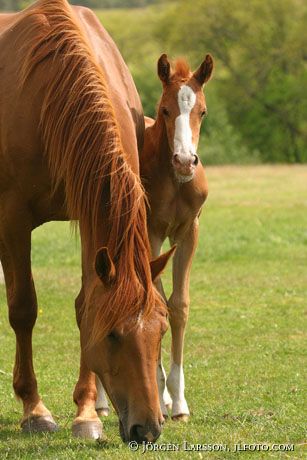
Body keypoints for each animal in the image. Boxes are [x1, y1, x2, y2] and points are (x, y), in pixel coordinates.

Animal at [0, 0, 174, 446]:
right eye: (113, 335)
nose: (147, 429)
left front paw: (86, 414)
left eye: (162, 331)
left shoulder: (90, 212)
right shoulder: (12, 219)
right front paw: (34, 409)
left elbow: (83, 306)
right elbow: (23, 308)